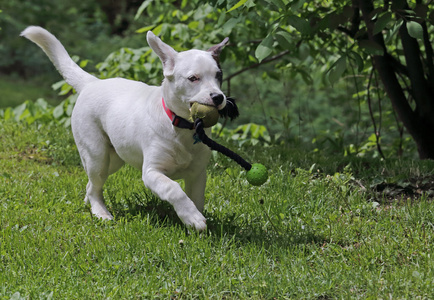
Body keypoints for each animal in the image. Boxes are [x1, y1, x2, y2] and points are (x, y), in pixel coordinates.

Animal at [21, 26, 237, 232]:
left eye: (218, 75)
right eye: (193, 78)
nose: (218, 97)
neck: (182, 126)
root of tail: (93, 83)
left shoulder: (198, 174)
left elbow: (197, 198)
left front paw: (195, 221)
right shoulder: (151, 172)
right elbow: (174, 189)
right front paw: (193, 218)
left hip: (114, 158)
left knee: (91, 185)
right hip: (97, 156)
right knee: (94, 185)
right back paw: (101, 212)